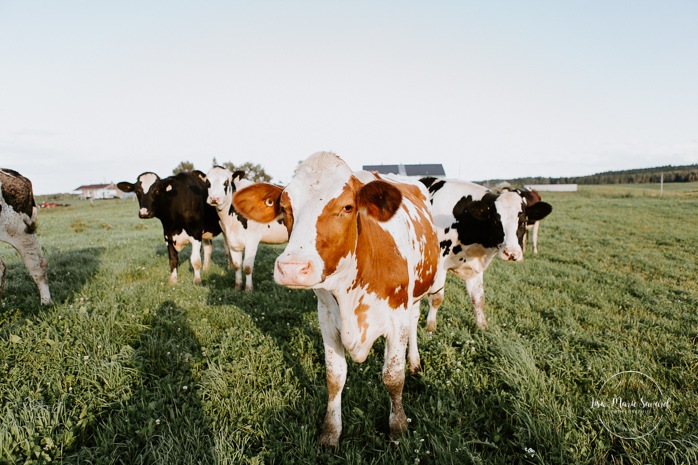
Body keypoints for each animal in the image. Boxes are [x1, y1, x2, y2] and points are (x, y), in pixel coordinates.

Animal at [234, 150, 440, 444]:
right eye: (285, 207)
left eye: (347, 207)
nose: (292, 268)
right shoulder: (327, 318)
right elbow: (334, 377)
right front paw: (330, 432)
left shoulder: (397, 316)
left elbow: (393, 376)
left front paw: (398, 428)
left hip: (420, 291)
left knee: (414, 320)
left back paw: (414, 360)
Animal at [418, 175, 548, 330]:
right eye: (496, 221)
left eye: (522, 222)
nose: (511, 253)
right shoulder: (439, 265)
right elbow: (436, 297)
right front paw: (430, 326)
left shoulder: (474, 267)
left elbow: (478, 298)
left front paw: (482, 326)